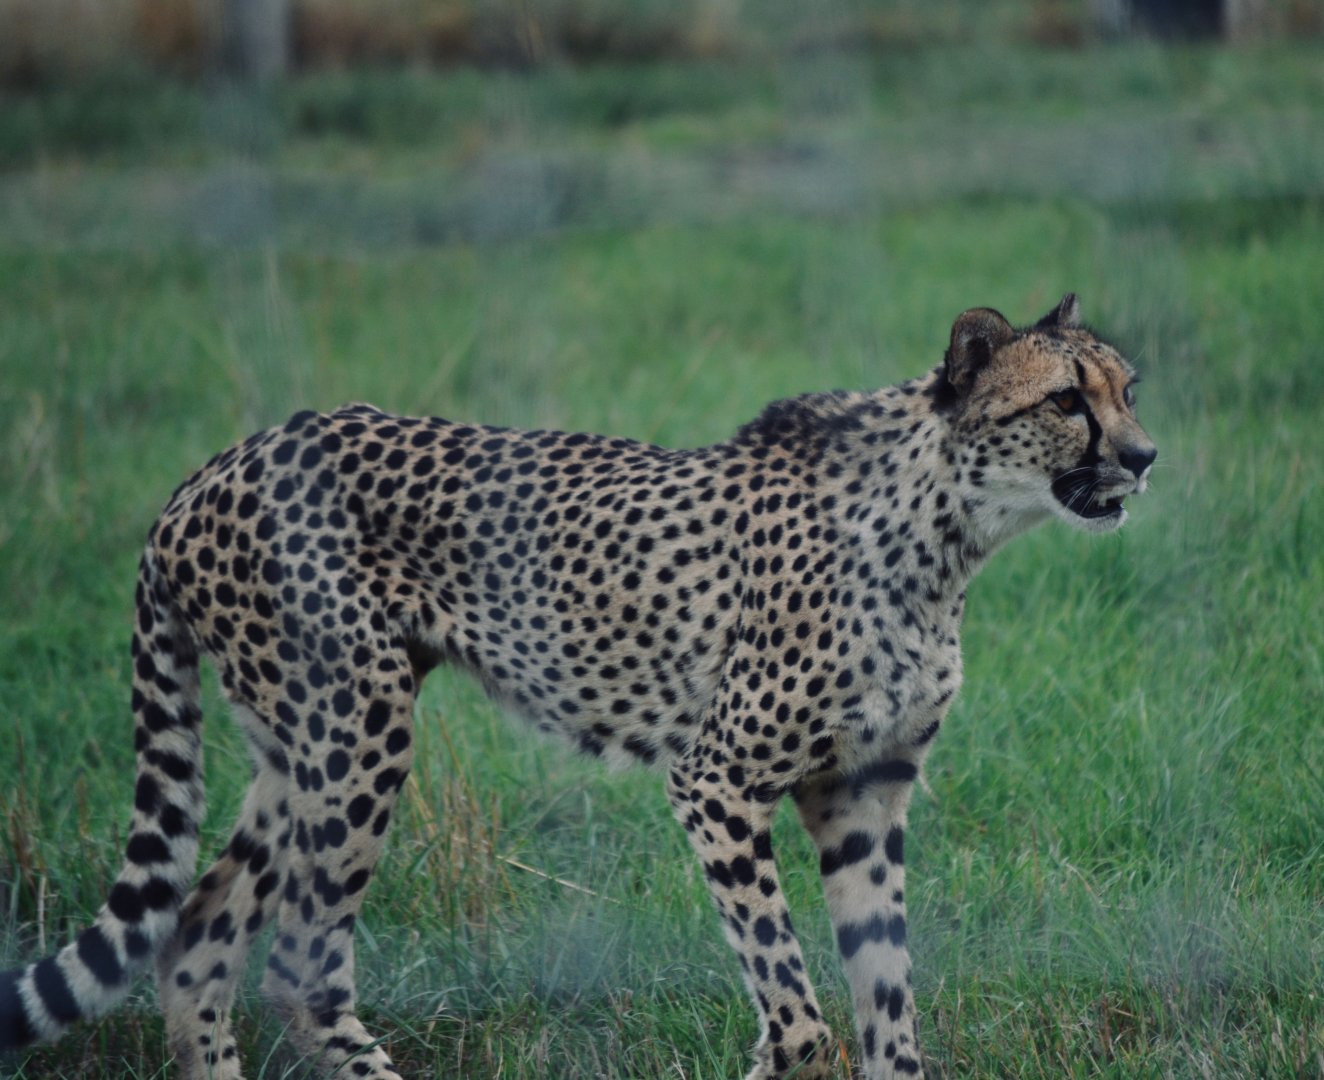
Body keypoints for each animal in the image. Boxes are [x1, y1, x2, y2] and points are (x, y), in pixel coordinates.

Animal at [1, 294, 1155, 1079]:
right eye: (1065, 400)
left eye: (1126, 390)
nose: (1144, 456)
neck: (947, 531)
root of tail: (210, 470)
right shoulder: (716, 780)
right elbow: (794, 1009)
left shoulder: (862, 794)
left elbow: (890, 1011)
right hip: (357, 729)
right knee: (298, 960)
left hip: (296, 747)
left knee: (198, 937)